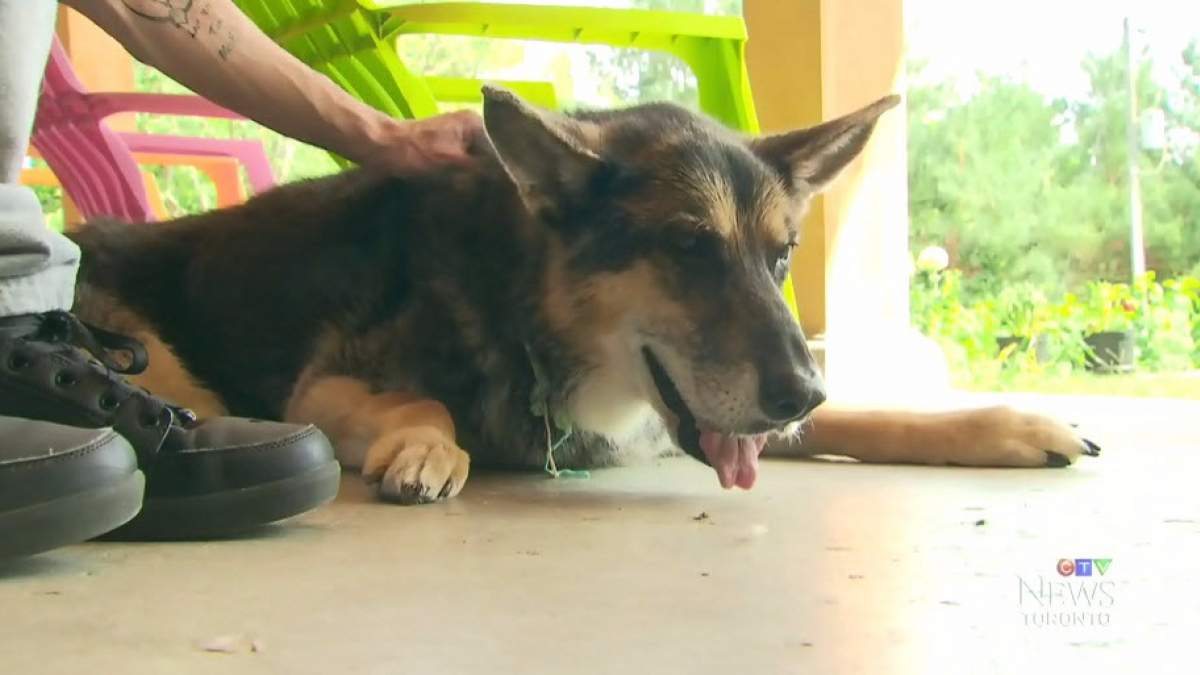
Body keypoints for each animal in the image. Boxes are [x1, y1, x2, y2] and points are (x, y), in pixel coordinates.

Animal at [65, 86, 1099, 502]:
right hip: (152, 359)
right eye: (687, 246)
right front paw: (426, 446)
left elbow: (868, 414)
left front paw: (1007, 425)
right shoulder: (320, 388)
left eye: (781, 256)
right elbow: (426, 400)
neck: (529, 299)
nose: (799, 391)